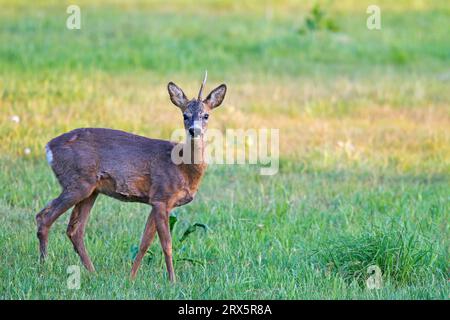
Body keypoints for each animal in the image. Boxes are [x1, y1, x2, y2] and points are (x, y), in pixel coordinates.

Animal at [35, 71, 227, 282]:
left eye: (206, 115)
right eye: (185, 115)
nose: (194, 130)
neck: (183, 166)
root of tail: (48, 147)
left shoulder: (155, 201)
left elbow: (144, 243)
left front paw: (131, 277)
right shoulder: (161, 196)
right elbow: (166, 244)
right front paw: (172, 281)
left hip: (91, 190)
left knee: (74, 230)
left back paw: (93, 273)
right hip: (77, 183)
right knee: (44, 217)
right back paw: (44, 267)